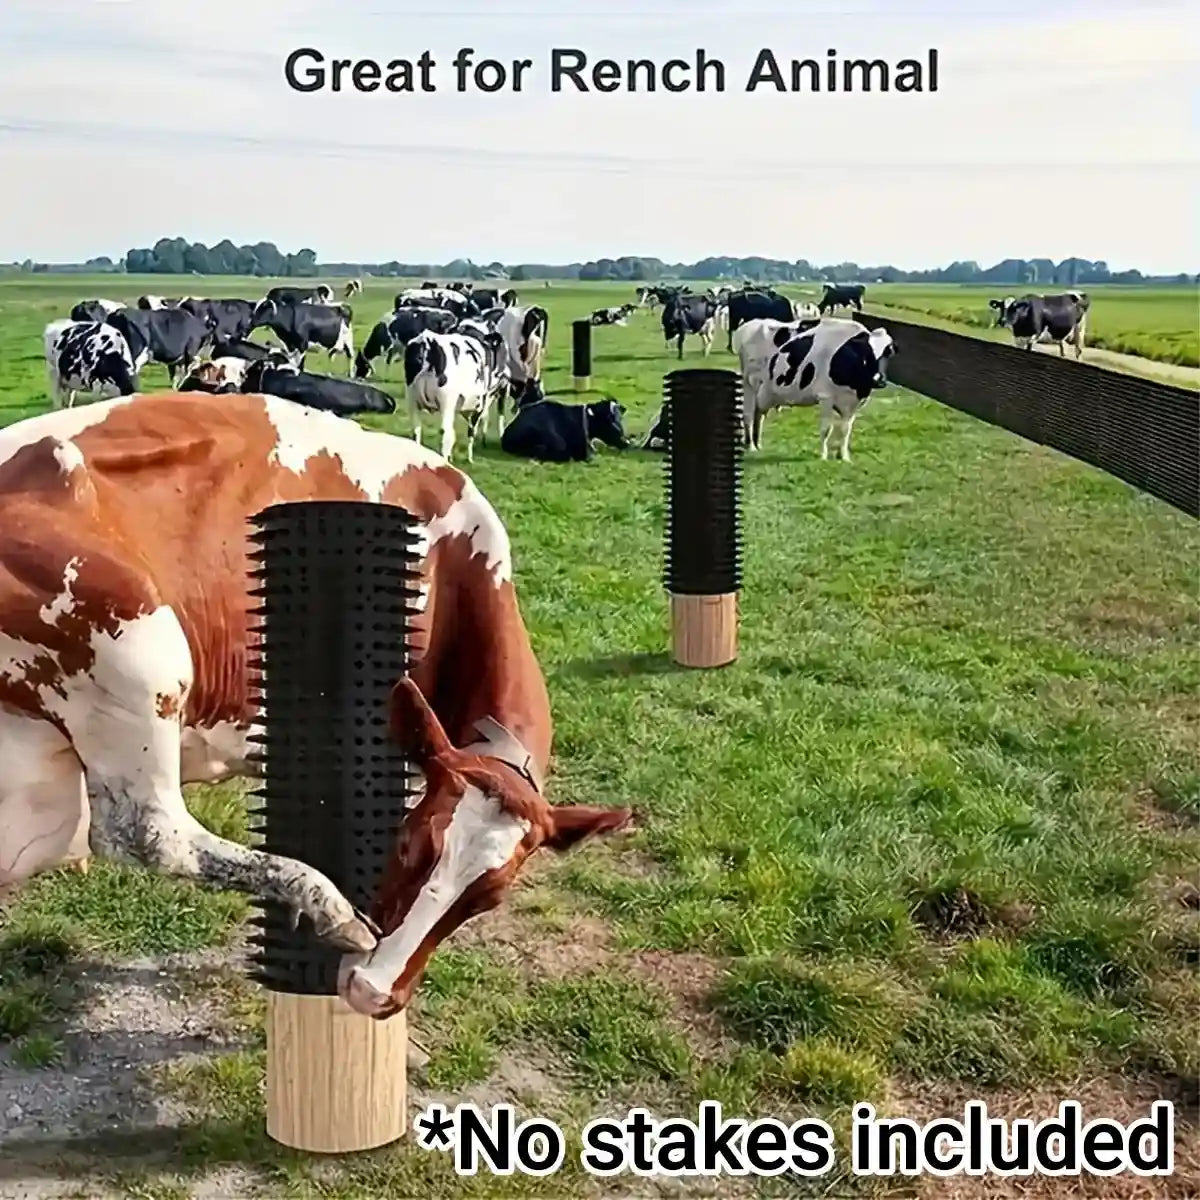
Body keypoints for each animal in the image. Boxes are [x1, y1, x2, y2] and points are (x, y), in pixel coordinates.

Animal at [404, 330, 510, 462]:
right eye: (504, 354)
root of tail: (428, 340)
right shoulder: (479, 406)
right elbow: (471, 431)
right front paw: (470, 458)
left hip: (412, 400)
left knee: (416, 431)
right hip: (446, 401)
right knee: (444, 432)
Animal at [747, 318, 896, 460]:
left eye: (888, 353)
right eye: (866, 353)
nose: (879, 380)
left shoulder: (854, 402)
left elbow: (845, 430)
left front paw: (843, 457)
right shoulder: (826, 397)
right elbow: (826, 429)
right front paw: (823, 456)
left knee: (760, 412)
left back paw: (757, 443)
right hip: (754, 385)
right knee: (753, 413)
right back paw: (753, 445)